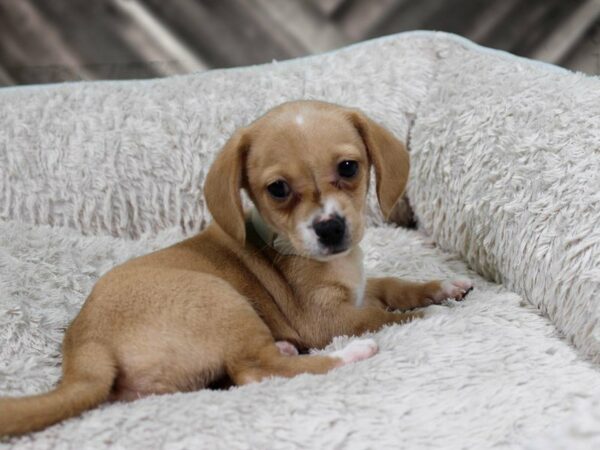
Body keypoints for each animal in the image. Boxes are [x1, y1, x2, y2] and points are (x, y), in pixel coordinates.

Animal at [0, 100, 474, 434]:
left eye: (348, 168)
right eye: (278, 189)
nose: (330, 228)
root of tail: (85, 348)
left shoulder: (360, 288)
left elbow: (393, 285)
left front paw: (442, 287)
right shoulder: (326, 318)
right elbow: (382, 316)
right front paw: (428, 314)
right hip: (224, 301)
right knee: (259, 370)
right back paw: (351, 353)